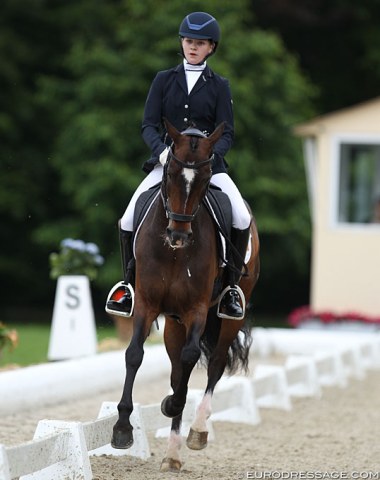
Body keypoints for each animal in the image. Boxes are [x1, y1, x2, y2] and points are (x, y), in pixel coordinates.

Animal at [111, 118, 260, 470]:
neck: (174, 253)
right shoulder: (148, 304)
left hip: (226, 318)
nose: (178, 235)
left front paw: (171, 405)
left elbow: (192, 360)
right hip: (174, 323)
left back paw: (196, 431)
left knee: (214, 365)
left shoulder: (197, 309)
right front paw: (122, 428)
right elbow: (134, 354)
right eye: (170, 174)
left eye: (205, 179)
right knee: (178, 369)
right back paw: (172, 453)